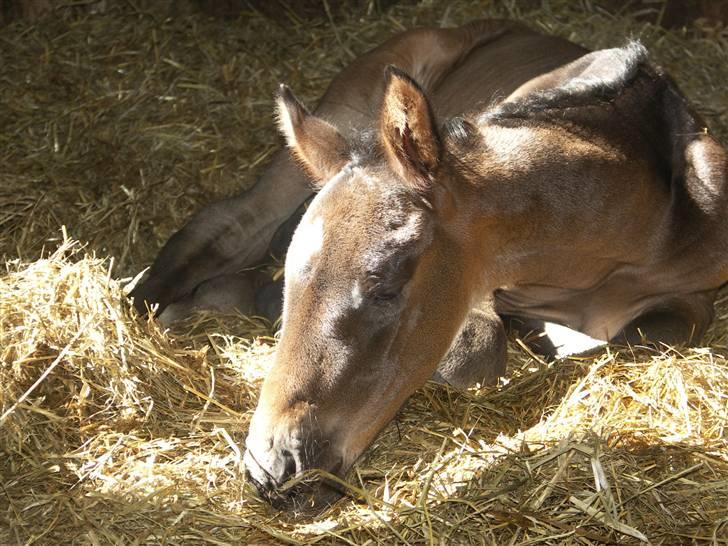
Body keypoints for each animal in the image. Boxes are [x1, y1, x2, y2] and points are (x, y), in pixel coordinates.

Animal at [130, 20, 727, 509]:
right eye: (292, 289)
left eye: (387, 286)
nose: (273, 469)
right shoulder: (478, 289)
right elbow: (481, 349)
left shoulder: (697, 294)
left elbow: (648, 335)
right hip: (332, 127)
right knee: (228, 224)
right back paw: (143, 306)